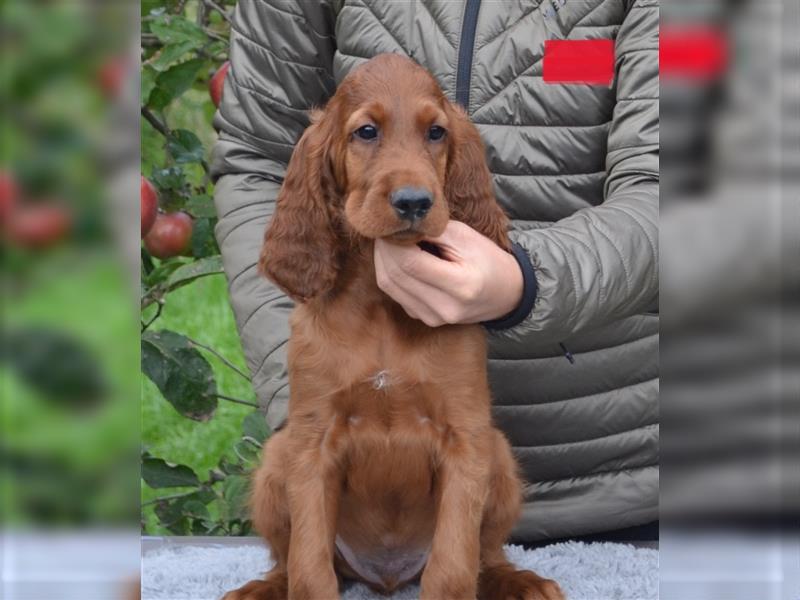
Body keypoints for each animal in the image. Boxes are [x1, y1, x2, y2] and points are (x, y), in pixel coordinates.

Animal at [222, 52, 564, 600]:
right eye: (366, 131)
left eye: (436, 132)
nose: (413, 202)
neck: (382, 306)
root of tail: (385, 574)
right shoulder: (311, 443)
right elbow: (310, 565)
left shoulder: (466, 439)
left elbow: (453, 564)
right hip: (276, 459)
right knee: (290, 558)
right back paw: (264, 586)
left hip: (500, 456)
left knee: (486, 554)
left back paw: (518, 580)